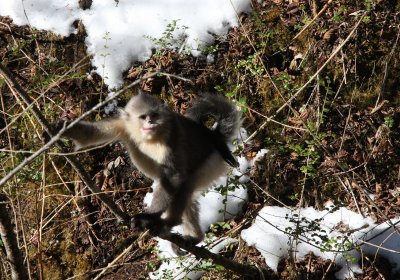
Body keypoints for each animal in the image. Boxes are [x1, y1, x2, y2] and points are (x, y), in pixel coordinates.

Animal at [56, 92, 241, 254]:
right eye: (143, 117)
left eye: (153, 115)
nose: (151, 122)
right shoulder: (122, 125)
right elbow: (88, 135)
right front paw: (62, 128)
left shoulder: (172, 129)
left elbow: (173, 176)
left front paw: (149, 217)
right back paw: (194, 237)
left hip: (212, 163)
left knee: (184, 182)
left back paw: (168, 222)